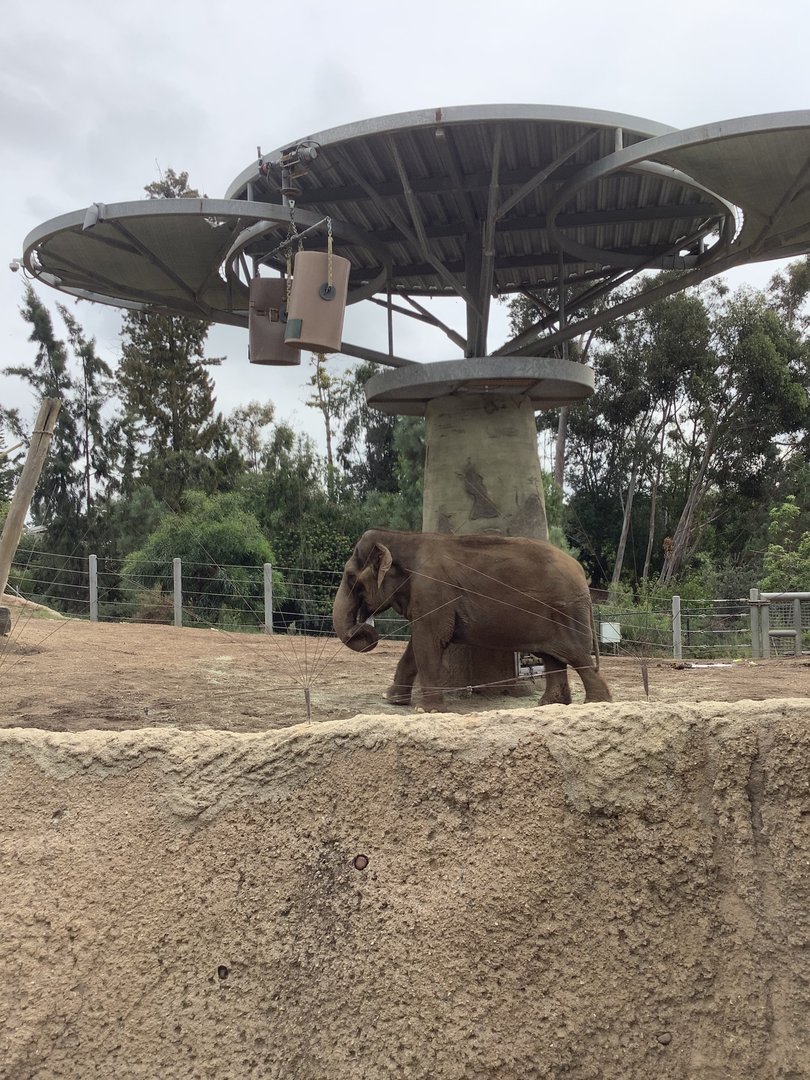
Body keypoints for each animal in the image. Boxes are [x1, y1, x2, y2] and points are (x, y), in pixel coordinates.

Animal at [332, 528, 612, 711]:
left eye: (350, 578)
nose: (365, 629)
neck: (405, 537)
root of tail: (582, 574)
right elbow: (417, 646)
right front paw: (392, 700)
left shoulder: (432, 591)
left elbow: (428, 641)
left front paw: (427, 711)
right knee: (553, 657)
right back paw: (549, 705)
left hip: (566, 613)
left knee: (578, 656)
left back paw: (596, 704)